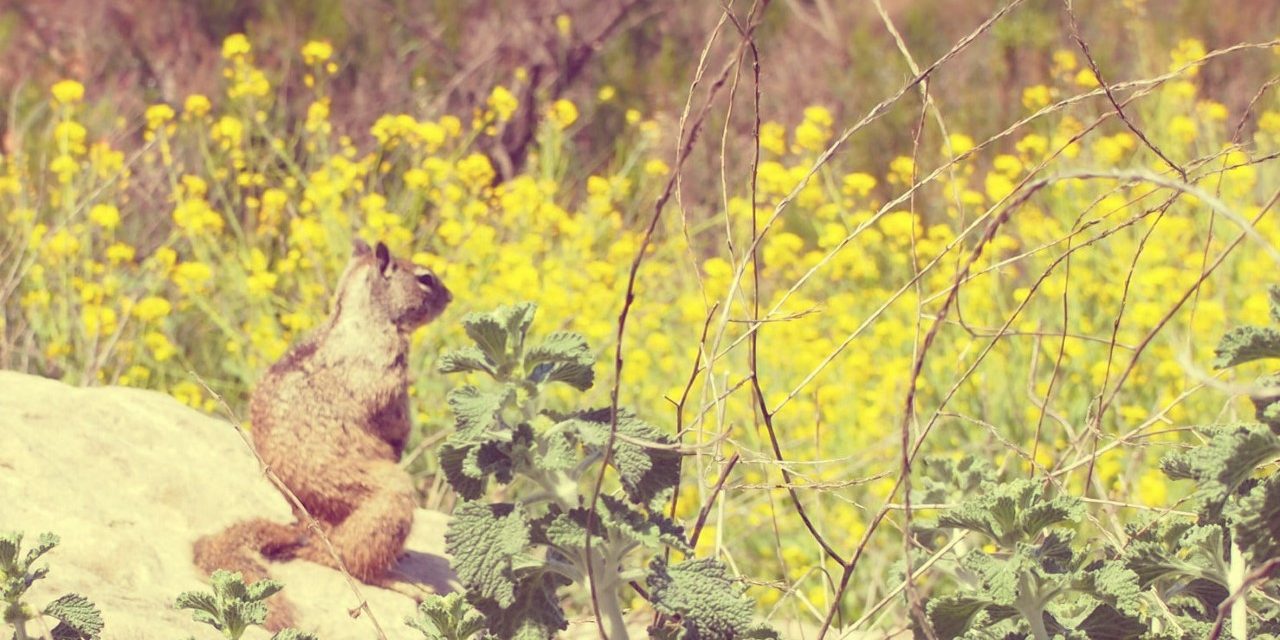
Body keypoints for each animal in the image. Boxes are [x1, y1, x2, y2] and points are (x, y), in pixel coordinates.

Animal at [194, 239, 451, 629]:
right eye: (425, 278)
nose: (450, 297)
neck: (358, 317)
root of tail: (305, 531)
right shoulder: (390, 376)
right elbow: (395, 420)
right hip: (388, 496)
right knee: (342, 561)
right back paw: (402, 581)